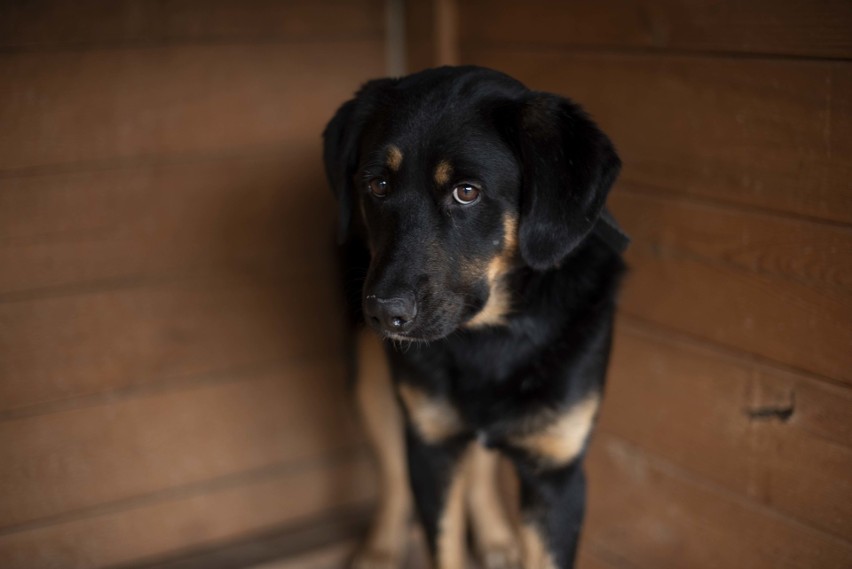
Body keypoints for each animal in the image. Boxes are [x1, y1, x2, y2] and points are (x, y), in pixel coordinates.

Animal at [322, 65, 628, 568]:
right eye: (378, 185)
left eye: (466, 192)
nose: (383, 311)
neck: (491, 335)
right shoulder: (431, 450)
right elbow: (441, 542)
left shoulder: (556, 476)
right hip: (368, 373)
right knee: (392, 470)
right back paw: (381, 549)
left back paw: (496, 538)